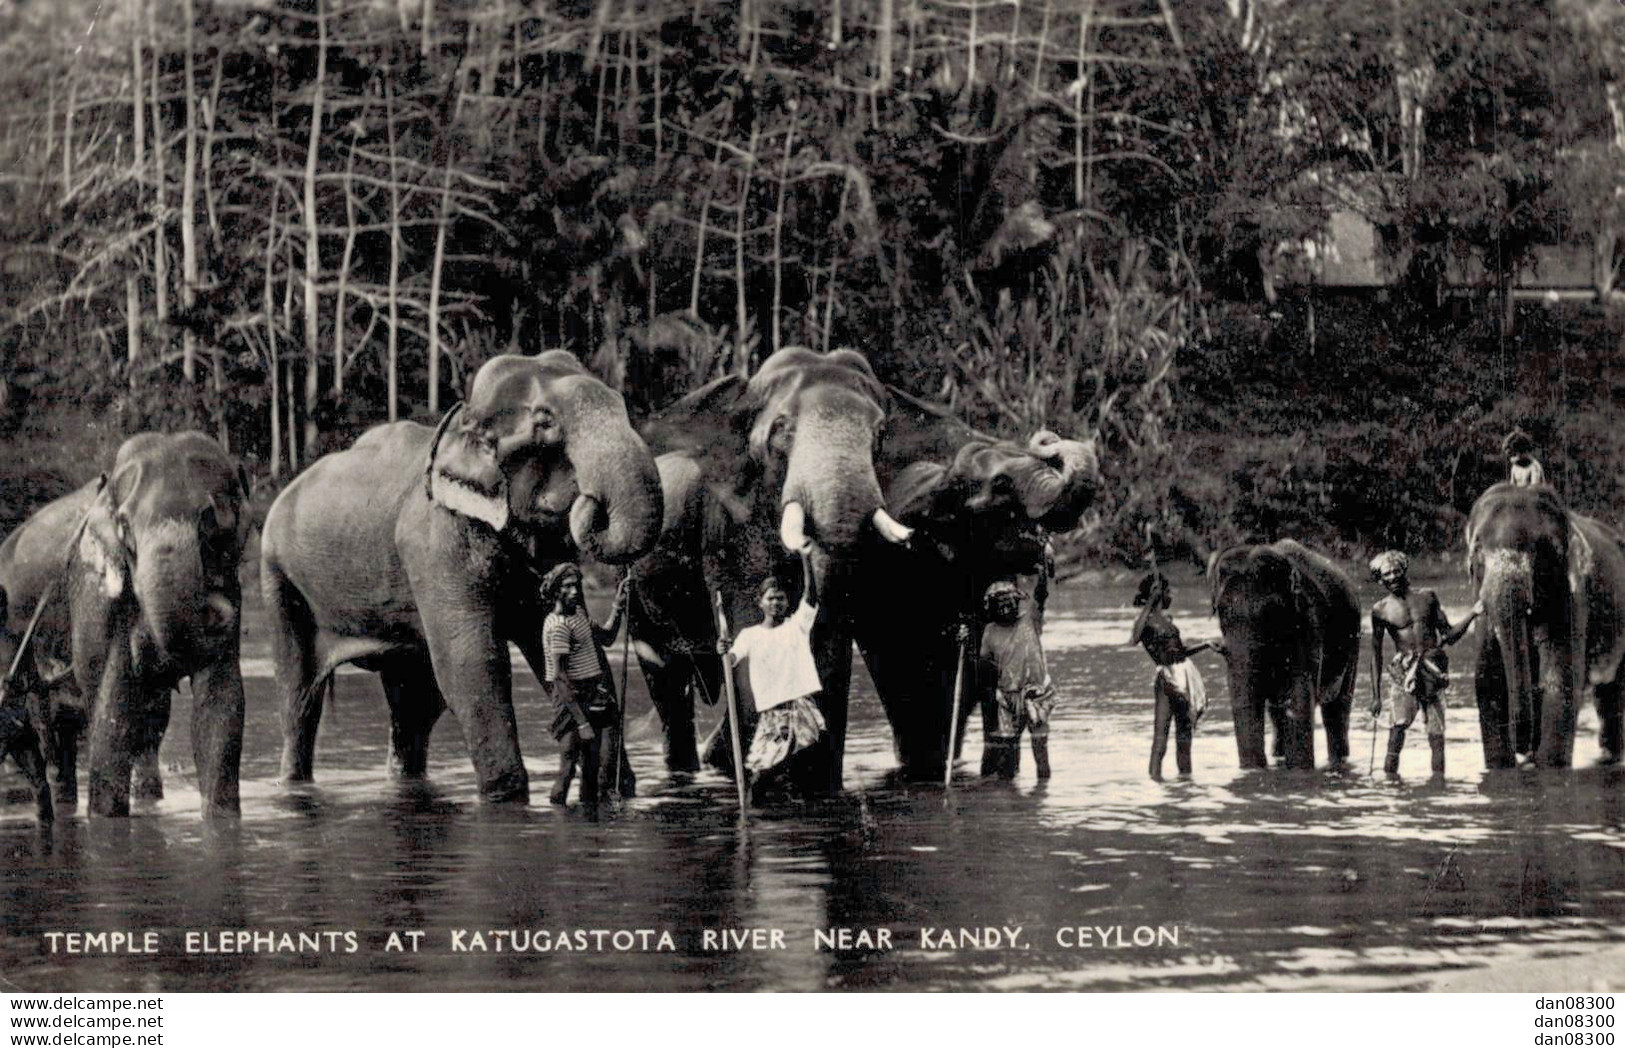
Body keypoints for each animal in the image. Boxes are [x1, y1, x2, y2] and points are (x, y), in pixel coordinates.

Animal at [0, 432, 251, 818]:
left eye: (210, 521)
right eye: (125, 527)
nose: (216, 610)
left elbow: (220, 705)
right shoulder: (92, 590)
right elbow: (112, 704)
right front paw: (105, 820)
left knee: (148, 728)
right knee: (48, 730)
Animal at [266, 350, 666, 802]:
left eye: (620, 402)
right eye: (545, 422)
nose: (590, 501)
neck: (465, 421)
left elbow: (561, 651)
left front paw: (620, 789)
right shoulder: (436, 543)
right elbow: (474, 661)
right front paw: (506, 796)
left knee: (415, 702)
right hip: (280, 580)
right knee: (299, 696)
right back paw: (293, 783)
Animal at [1209, 539, 1358, 766]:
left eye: (1271, 613)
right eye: (1220, 610)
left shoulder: (1308, 626)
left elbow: (1297, 699)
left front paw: (1299, 769)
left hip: (1353, 642)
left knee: (1337, 710)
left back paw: (1338, 759)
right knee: (1277, 714)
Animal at [1462, 484, 1625, 766]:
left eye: (1539, 550)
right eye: (1477, 551)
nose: (1523, 748)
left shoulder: (1570, 594)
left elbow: (1558, 682)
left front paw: (1548, 766)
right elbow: (1488, 679)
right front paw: (1502, 768)